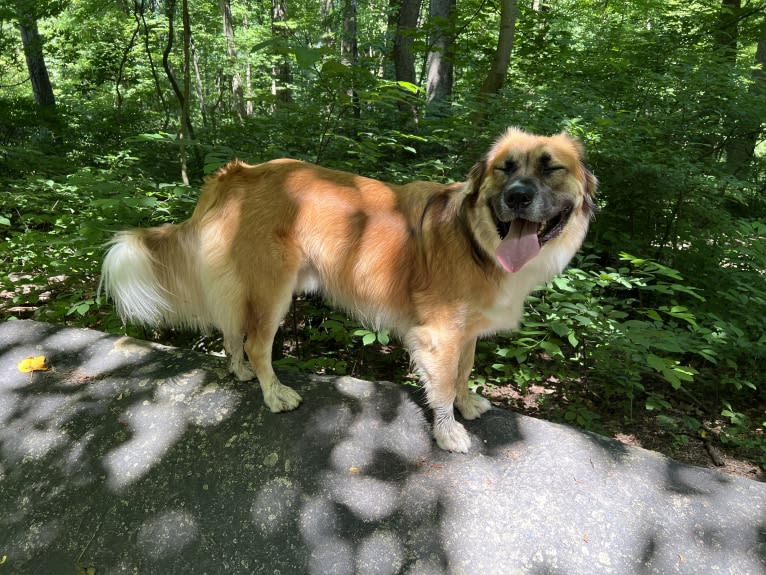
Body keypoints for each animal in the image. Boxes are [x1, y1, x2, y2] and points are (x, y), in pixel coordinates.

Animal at [99, 128, 596, 452]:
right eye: (503, 169)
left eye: (551, 168)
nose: (517, 197)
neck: (478, 236)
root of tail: (237, 173)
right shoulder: (439, 334)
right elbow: (440, 385)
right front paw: (448, 430)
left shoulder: (466, 330)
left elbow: (462, 372)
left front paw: (467, 402)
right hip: (273, 287)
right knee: (257, 343)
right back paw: (273, 392)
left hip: (246, 285)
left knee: (232, 331)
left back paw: (239, 372)